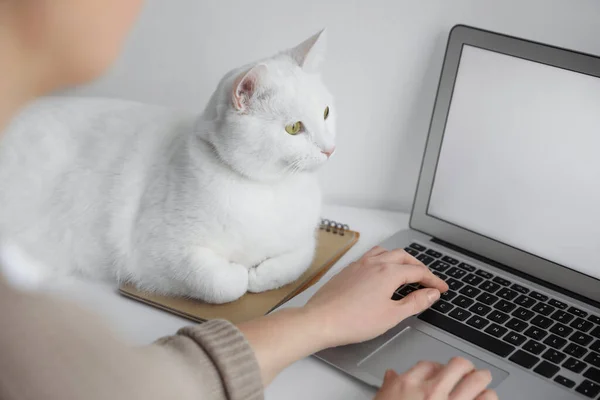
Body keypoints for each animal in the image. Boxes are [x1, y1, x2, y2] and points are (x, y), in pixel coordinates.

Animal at [0, 29, 336, 304]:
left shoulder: (306, 240)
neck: (267, 190)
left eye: (326, 112)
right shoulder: (160, 256)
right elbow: (225, 284)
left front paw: (262, 274)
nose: (329, 149)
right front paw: (242, 273)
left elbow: (297, 261)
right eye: (294, 128)